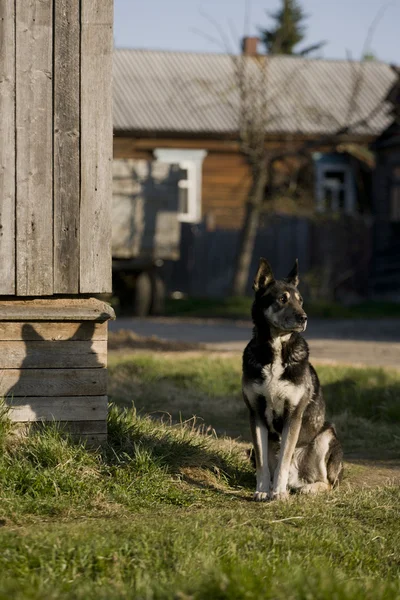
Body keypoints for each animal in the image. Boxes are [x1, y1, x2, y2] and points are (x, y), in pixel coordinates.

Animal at [242, 258, 342, 502]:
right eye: (282, 299)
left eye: (300, 300)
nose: (304, 318)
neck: (277, 349)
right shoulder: (256, 415)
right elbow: (263, 465)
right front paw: (262, 490)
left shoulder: (293, 414)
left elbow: (283, 461)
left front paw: (278, 493)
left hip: (326, 435)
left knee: (327, 482)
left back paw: (307, 488)